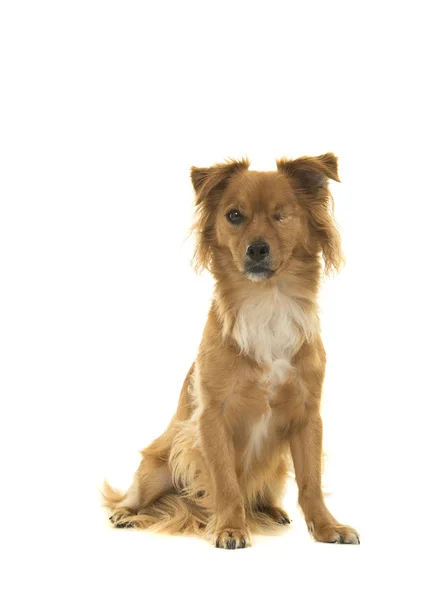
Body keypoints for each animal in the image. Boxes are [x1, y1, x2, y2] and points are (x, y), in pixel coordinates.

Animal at [102, 154, 360, 548]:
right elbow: (225, 481)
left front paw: (327, 526)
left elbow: (311, 482)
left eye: (281, 215)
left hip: (276, 465)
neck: (267, 301)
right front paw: (230, 528)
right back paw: (127, 513)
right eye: (234, 215)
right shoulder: (211, 418)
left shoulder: (307, 416)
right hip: (161, 463)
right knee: (140, 492)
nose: (257, 249)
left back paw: (271, 510)